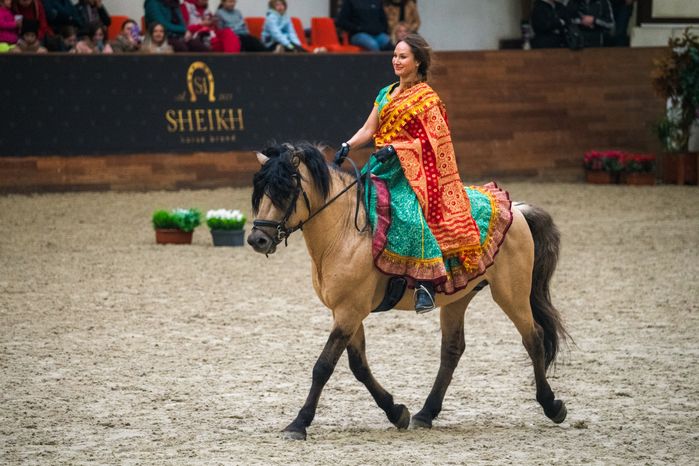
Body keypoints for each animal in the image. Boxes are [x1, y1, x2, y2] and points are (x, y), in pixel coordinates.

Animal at [248, 142, 569, 440]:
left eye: (285, 191)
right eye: (261, 192)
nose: (257, 239)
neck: (344, 233)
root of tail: (516, 209)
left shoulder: (349, 311)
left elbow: (324, 366)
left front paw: (298, 423)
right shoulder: (346, 312)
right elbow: (358, 366)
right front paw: (396, 411)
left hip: (510, 294)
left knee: (534, 338)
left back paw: (552, 405)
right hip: (458, 297)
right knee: (452, 350)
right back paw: (426, 413)